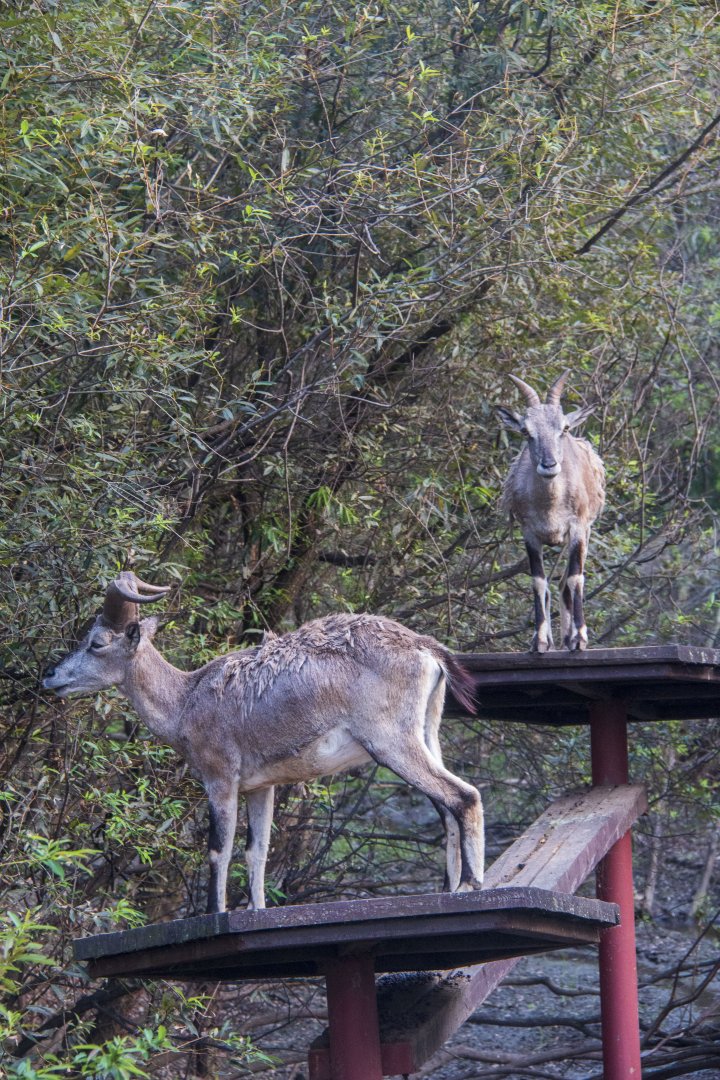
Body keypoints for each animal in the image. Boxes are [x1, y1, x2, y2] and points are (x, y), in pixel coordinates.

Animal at [43, 573, 484, 912]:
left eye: (97, 642)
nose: (51, 676)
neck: (186, 701)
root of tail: (428, 651)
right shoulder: (262, 786)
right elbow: (257, 849)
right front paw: (256, 908)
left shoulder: (220, 777)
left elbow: (219, 849)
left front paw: (215, 914)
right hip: (426, 732)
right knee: (445, 806)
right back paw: (450, 887)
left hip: (390, 739)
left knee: (463, 795)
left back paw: (471, 884)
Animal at [497, 370, 605, 652]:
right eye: (526, 431)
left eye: (563, 428)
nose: (549, 465)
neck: (551, 507)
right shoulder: (530, 533)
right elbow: (538, 581)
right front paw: (540, 641)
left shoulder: (577, 528)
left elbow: (576, 578)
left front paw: (580, 639)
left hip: (584, 533)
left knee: (566, 580)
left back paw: (570, 637)